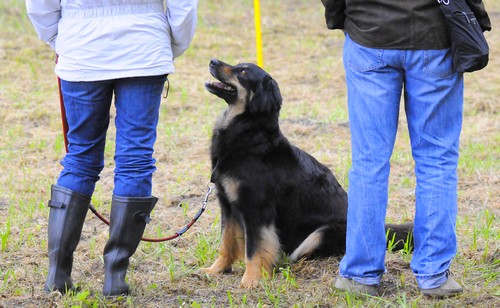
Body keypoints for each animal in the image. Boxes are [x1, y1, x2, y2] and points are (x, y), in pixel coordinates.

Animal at [201, 58, 412, 288]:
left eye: (244, 72)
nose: (212, 61)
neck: (248, 134)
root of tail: (384, 230)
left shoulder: (257, 209)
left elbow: (254, 249)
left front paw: (251, 280)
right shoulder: (228, 205)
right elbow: (226, 242)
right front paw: (216, 270)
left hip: (323, 232)